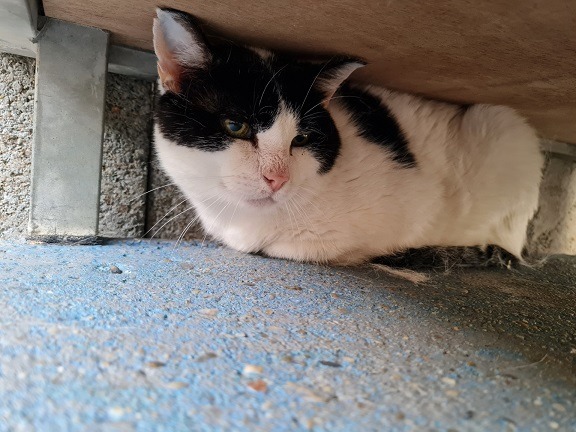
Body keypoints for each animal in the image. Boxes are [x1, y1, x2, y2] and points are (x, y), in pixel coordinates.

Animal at [152, 7, 544, 268]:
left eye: (302, 138)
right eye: (236, 126)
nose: (277, 179)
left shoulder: (416, 201)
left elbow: (311, 246)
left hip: (503, 126)